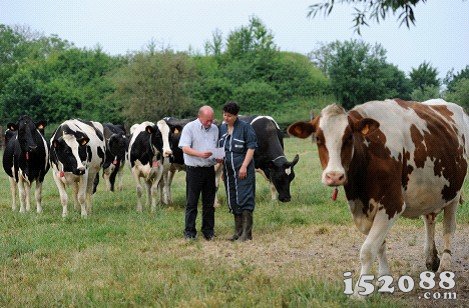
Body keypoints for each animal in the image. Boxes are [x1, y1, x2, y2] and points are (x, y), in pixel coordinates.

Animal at [288, 98, 466, 296]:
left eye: (349, 137)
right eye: (318, 138)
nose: (334, 176)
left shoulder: (392, 205)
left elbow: (367, 250)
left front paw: (358, 294)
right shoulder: (363, 206)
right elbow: (380, 245)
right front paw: (384, 279)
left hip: (454, 192)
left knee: (448, 227)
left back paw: (445, 265)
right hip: (431, 193)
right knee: (429, 220)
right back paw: (431, 258)